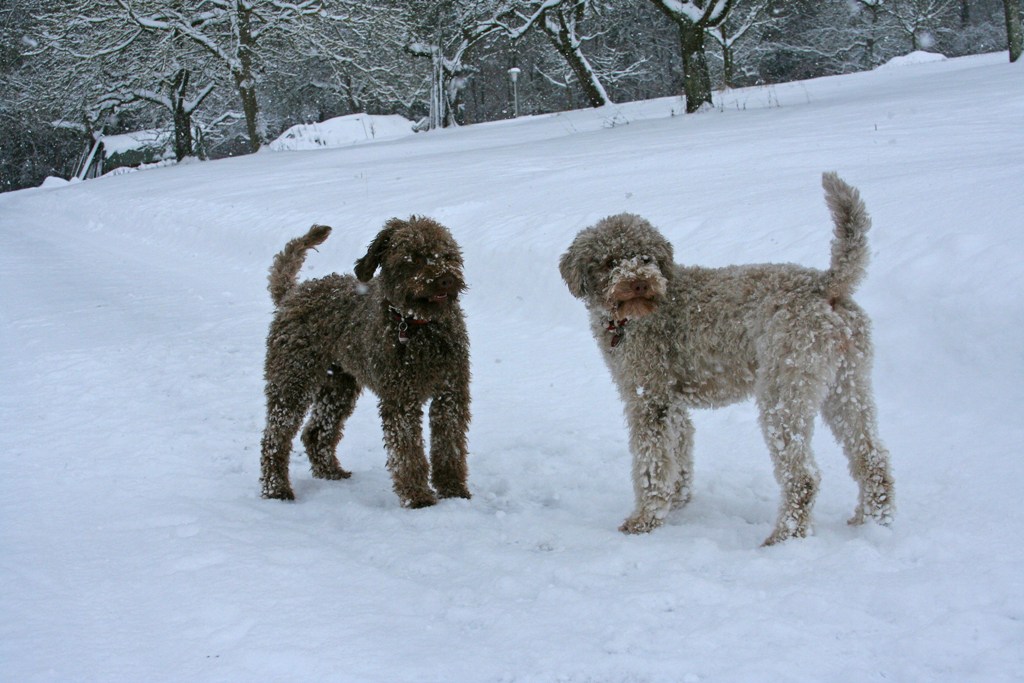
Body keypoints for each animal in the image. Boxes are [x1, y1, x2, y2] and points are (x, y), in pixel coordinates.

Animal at [262, 218, 473, 507]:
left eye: (447, 255)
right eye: (413, 258)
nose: (445, 279)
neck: (417, 326)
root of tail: (293, 293)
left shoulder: (450, 392)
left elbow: (449, 445)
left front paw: (453, 490)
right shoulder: (401, 398)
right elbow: (407, 450)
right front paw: (418, 497)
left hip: (338, 385)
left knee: (316, 432)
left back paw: (330, 472)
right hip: (293, 378)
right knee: (275, 437)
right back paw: (276, 489)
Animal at [561, 174, 897, 548]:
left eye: (645, 257)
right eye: (610, 261)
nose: (638, 282)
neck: (633, 317)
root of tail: (825, 286)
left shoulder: (649, 398)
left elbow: (652, 464)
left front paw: (645, 519)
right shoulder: (672, 401)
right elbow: (679, 451)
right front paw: (677, 502)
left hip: (784, 389)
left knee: (804, 475)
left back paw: (784, 537)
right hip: (847, 384)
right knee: (873, 458)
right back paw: (872, 523)